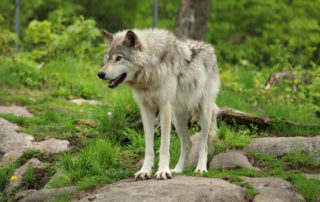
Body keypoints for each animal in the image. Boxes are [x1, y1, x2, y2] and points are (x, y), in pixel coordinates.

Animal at [97, 28, 220, 180]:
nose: (100, 74)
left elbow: (164, 146)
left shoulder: (164, 106)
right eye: (107, 58)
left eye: (119, 58)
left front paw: (162, 171)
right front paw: (145, 171)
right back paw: (178, 169)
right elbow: (149, 147)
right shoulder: (146, 109)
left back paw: (201, 168)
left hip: (204, 114)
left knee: (204, 143)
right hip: (178, 119)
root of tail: (210, 48)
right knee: (188, 143)